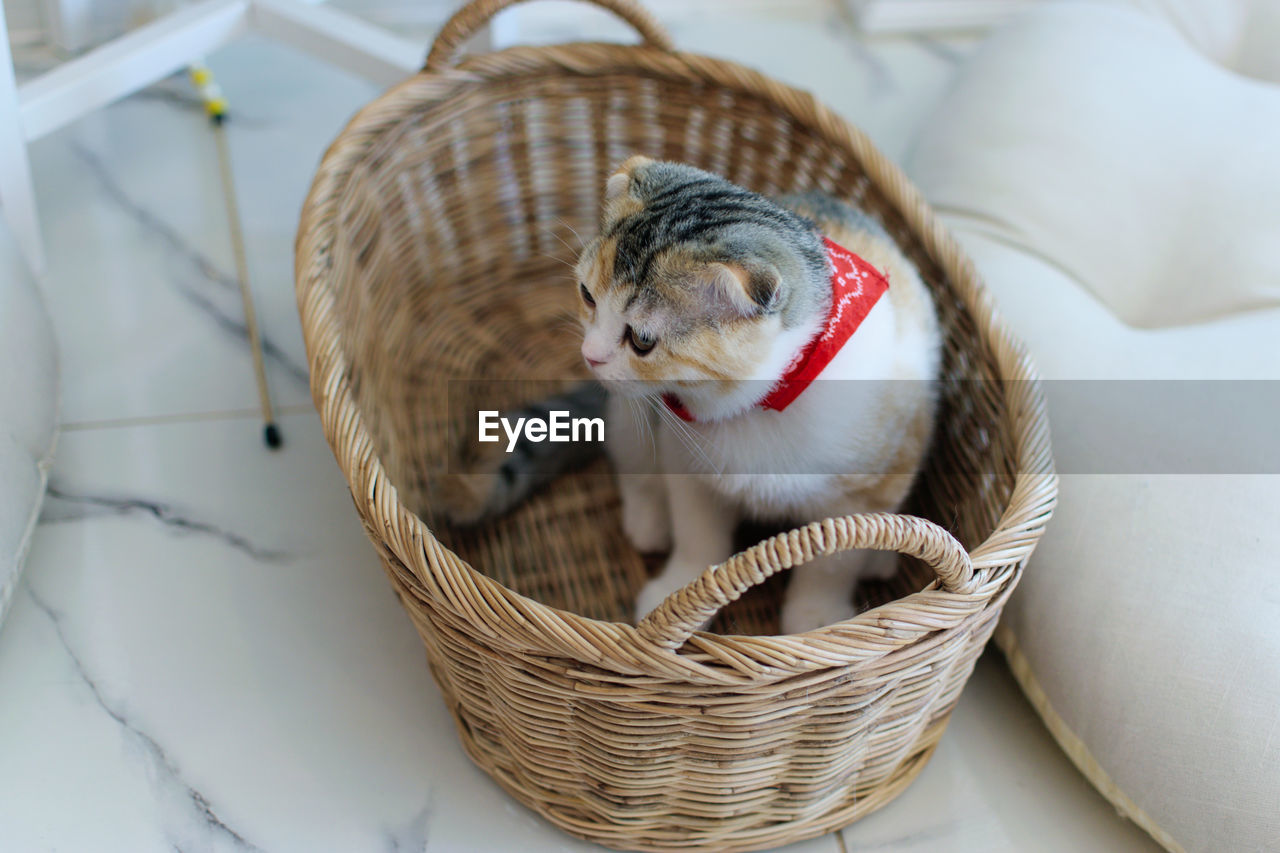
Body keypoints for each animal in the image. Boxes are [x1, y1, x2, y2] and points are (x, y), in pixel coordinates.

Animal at [445, 157, 936, 630]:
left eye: (643, 340)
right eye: (587, 295)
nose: (590, 355)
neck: (758, 407)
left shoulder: (871, 486)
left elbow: (835, 557)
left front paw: (817, 614)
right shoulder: (687, 462)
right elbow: (697, 534)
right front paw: (677, 589)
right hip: (631, 416)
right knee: (631, 459)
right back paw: (648, 517)